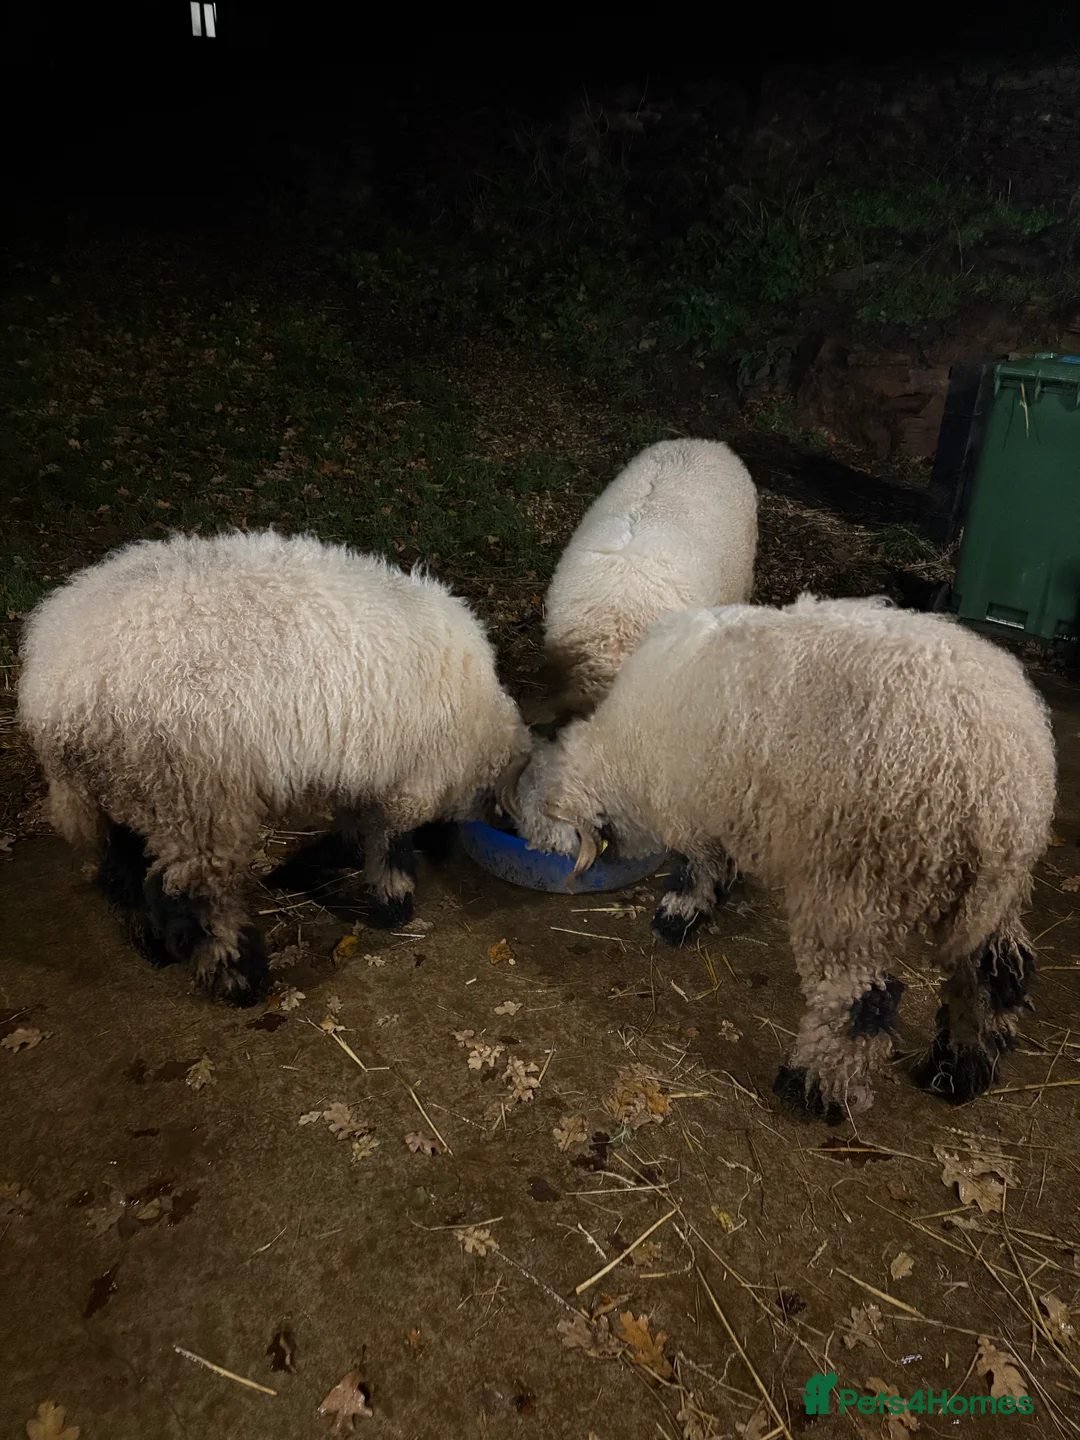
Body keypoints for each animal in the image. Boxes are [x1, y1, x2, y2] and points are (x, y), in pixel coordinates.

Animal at [18, 530, 530, 1006]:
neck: (481, 727)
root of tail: (56, 686)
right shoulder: (411, 775)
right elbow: (391, 842)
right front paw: (392, 901)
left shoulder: (361, 759)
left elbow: (356, 815)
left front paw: (338, 851)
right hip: (192, 800)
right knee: (192, 898)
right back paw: (236, 977)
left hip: (129, 792)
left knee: (122, 871)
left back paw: (152, 945)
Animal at [509, 595, 1056, 1118]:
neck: (620, 756)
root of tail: (1003, 779)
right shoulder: (723, 805)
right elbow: (716, 862)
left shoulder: (694, 806)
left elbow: (695, 866)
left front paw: (678, 915)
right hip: (990, 899)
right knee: (999, 974)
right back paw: (958, 1072)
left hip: (855, 888)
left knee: (859, 1002)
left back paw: (811, 1089)